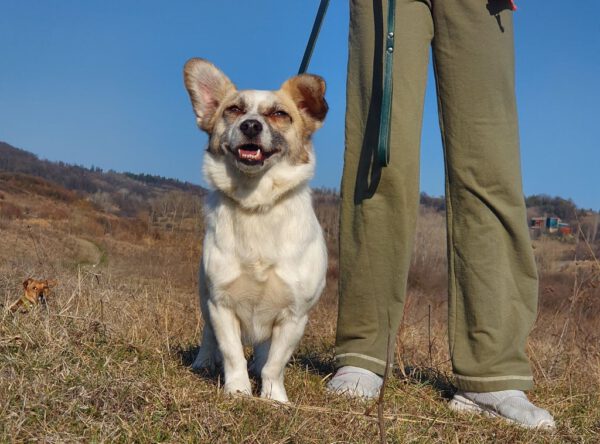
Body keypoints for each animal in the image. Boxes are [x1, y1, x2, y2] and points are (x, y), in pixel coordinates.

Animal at [185, 58, 330, 402]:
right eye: (234, 110)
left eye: (279, 114)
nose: (251, 125)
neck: (256, 204)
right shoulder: (221, 306)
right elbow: (232, 353)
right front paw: (238, 391)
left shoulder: (294, 316)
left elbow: (274, 363)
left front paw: (274, 398)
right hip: (204, 296)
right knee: (209, 336)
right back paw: (204, 362)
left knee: (264, 350)